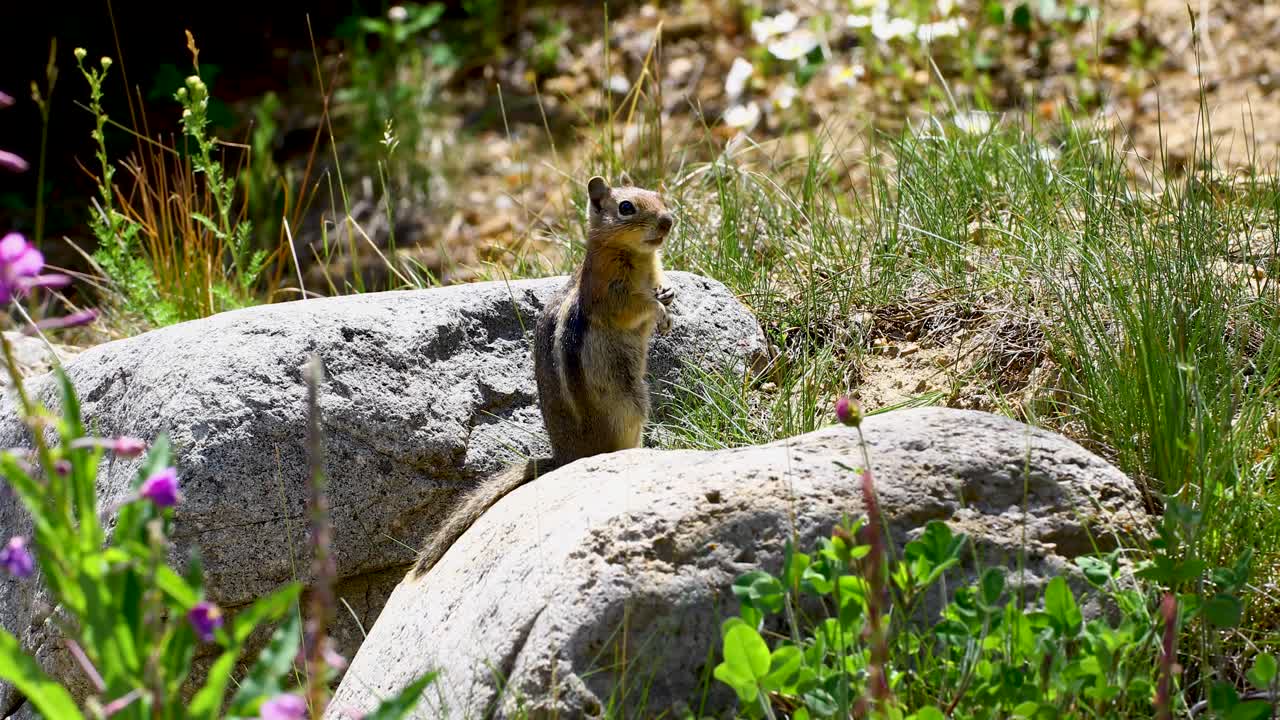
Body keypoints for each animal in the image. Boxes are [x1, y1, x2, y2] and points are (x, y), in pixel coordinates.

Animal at [412, 173, 676, 576]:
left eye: (658, 196)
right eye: (626, 207)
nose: (668, 221)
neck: (639, 256)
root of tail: (565, 458)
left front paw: (668, 293)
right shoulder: (609, 293)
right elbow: (634, 306)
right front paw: (658, 308)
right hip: (630, 406)